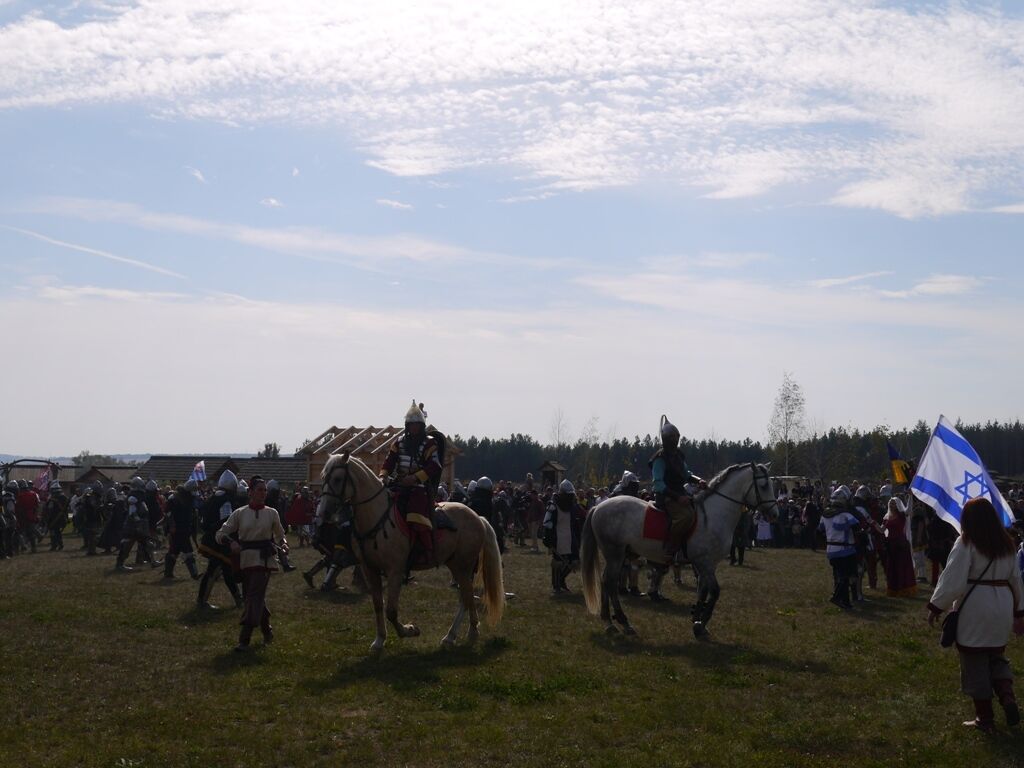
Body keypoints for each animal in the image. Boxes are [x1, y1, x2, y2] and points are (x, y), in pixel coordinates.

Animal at [585, 466, 774, 638]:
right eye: (764, 486)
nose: (774, 513)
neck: (713, 516)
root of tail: (599, 507)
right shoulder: (704, 562)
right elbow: (714, 592)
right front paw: (701, 624)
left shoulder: (707, 565)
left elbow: (703, 591)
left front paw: (697, 620)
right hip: (615, 554)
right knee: (610, 582)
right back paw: (622, 622)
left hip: (616, 555)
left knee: (605, 581)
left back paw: (609, 622)